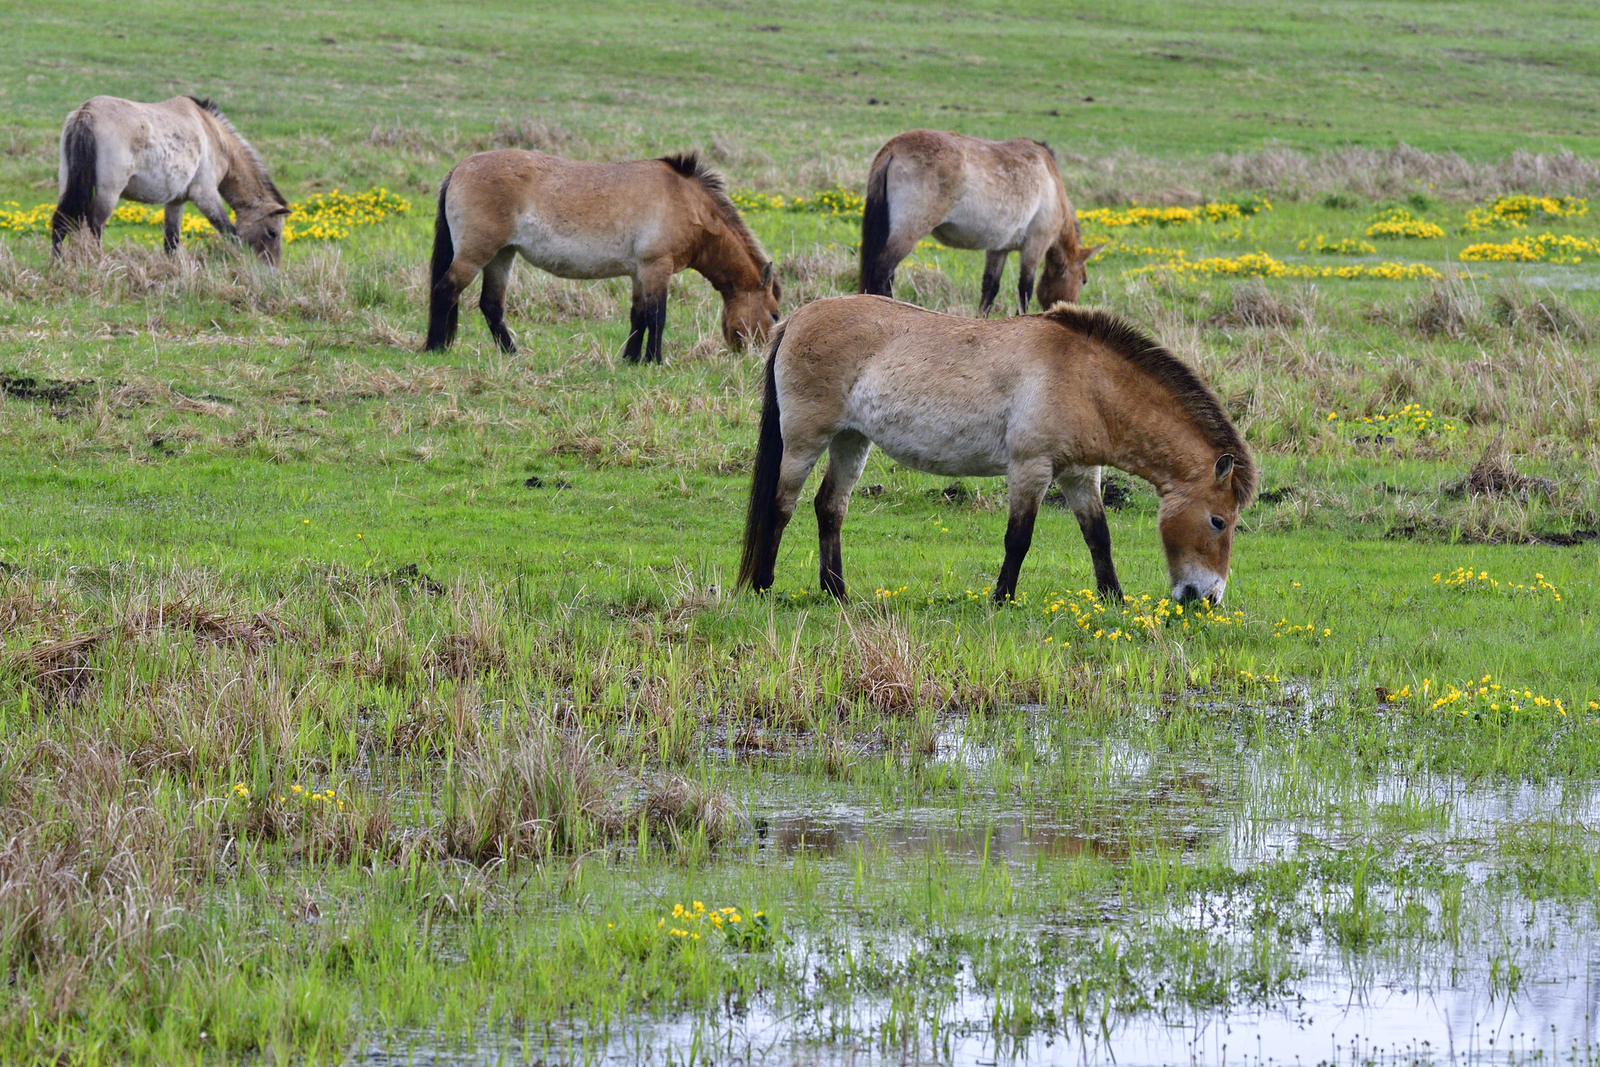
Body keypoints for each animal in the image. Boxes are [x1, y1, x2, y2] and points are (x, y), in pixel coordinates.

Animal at [50, 96, 291, 265]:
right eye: (272, 232)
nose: (272, 270)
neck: (213, 135)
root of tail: (87, 111)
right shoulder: (205, 195)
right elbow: (230, 233)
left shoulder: (176, 201)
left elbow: (171, 242)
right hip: (107, 193)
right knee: (94, 227)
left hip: (68, 184)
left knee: (62, 222)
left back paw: (57, 264)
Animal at [422, 149, 777, 363]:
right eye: (774, 315)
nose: (761, 358)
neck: (686, 202)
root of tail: (457, 169)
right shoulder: (656, 267)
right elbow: (657, 316)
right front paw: (654, 360)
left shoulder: (639, 272)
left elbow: (639, 316)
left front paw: (631, 360)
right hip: (475, 254)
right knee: (445, 290)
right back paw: (434, 348)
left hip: (501, 255)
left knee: (491, 306)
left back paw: (513, 354)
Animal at [742, 295, 1254, 607]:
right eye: (1218, 521)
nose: (1208, 598)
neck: (1085, 380)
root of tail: (796, 319)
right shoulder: (1031, 467)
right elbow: (1018, 538)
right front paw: (1002, 599)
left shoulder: (1079, 473)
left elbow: (1098, 536)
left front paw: (1114, 600)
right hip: (805, 441)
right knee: (782, 505)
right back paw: (762, 585)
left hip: (852, 440)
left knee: (830, 507)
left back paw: (837, 593)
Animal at [864, 131, 1100, 315]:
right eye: (1084, 280)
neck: (1051, 180)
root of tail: (893, 148)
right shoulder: (1035, 245)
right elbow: (1024, 290)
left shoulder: (998, 249)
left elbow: (990, 288)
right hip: (908, 233)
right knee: (883, 271)